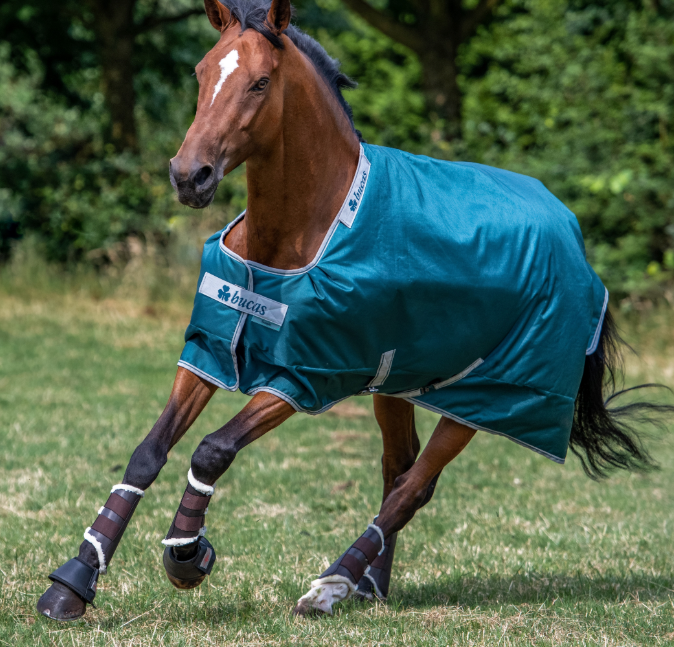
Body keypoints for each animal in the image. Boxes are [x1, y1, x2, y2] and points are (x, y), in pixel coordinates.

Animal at [37, 0, 671, 621]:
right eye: (201, 73)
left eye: (260, 82)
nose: (190, 176)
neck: (299, 232)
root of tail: (571, 232)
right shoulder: (210, 351)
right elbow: (148, 452)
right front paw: (73, 582)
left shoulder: (303, 377)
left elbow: (213, 449)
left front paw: (188, 554)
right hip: (399, 381)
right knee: (399, 470)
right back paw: (368, 585)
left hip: (489, 396)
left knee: (415, 486)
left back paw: (332, 584)